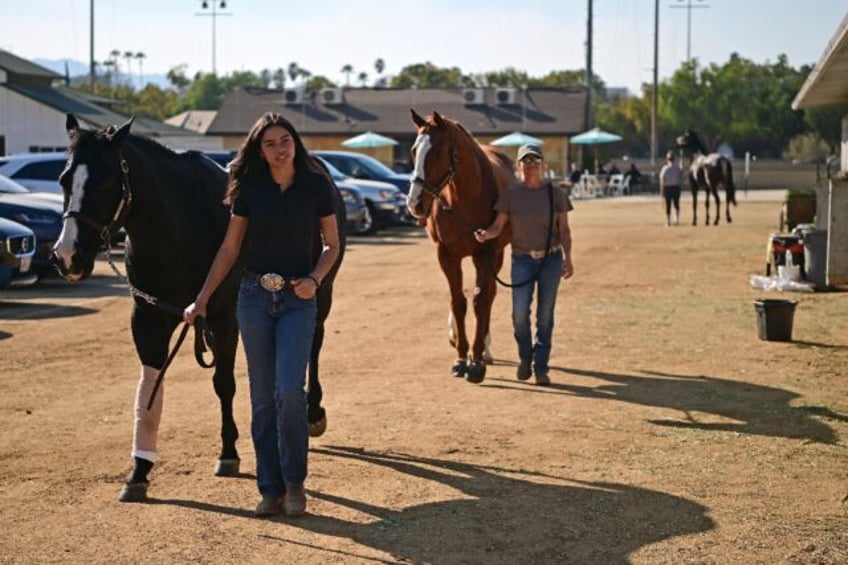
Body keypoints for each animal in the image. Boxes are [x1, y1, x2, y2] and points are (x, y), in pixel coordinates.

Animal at [53, 113, 342, 498]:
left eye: (104, 182)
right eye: (63, 179)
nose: (67, 256)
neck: (178, 230)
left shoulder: (225, 319)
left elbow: (224, 383)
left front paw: (229, 453)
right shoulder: (149, 319)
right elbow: (150, 389)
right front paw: (139, 469)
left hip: (319, 294)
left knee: (312, 345)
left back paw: (312, 414)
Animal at [408, 109, 512, 384]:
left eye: (438, 153)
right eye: (413, 151)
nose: (414, 203)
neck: (464, 199)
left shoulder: (485, 253)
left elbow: (480, 300)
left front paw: (475, 361)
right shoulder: (446, 255)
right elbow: (458, 302)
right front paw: (460, 358)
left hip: (495, 256)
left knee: (489, 295)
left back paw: (485, 349)